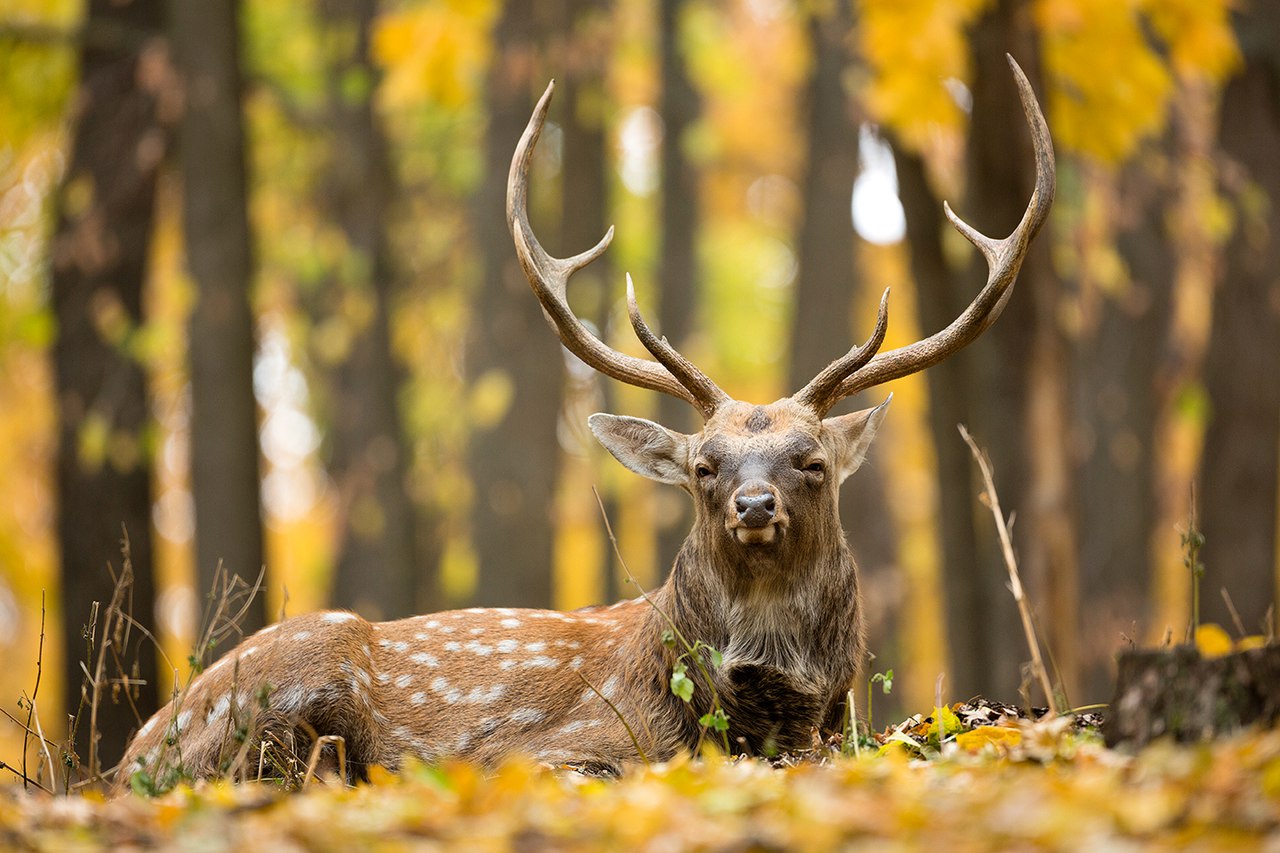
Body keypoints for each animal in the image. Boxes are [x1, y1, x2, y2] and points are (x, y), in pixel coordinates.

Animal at [112, 54, 1049, 788]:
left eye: (810, 459)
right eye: (704, 465)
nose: (753, 505)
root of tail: (135, 749)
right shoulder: (548, 747)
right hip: (285, 680)